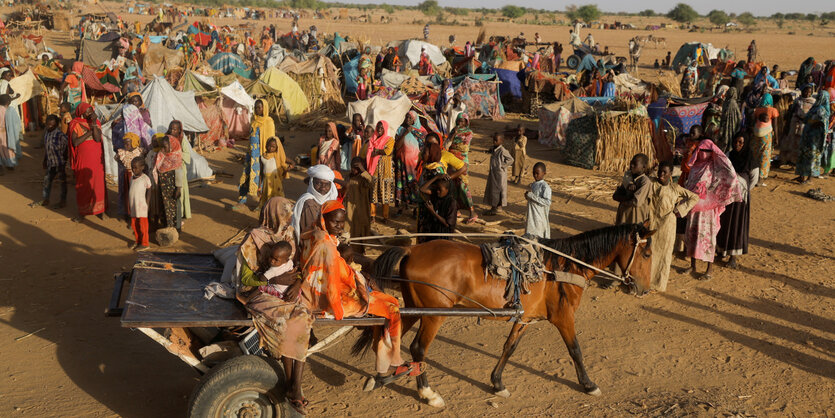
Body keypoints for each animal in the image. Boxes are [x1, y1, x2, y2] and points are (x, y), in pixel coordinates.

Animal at [362, 224, 656, 406]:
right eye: (647, 252)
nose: (644, 289)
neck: (564, 266)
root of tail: (412, 249)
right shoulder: (564, 318)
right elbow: (575, 350)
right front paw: (588, 384)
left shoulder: (524, 318)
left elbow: (509, 348)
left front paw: (497, 383)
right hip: (435, 314)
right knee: (418, 349)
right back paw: (427, 394)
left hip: (414, 307)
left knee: (389, 336)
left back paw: (379, 377)